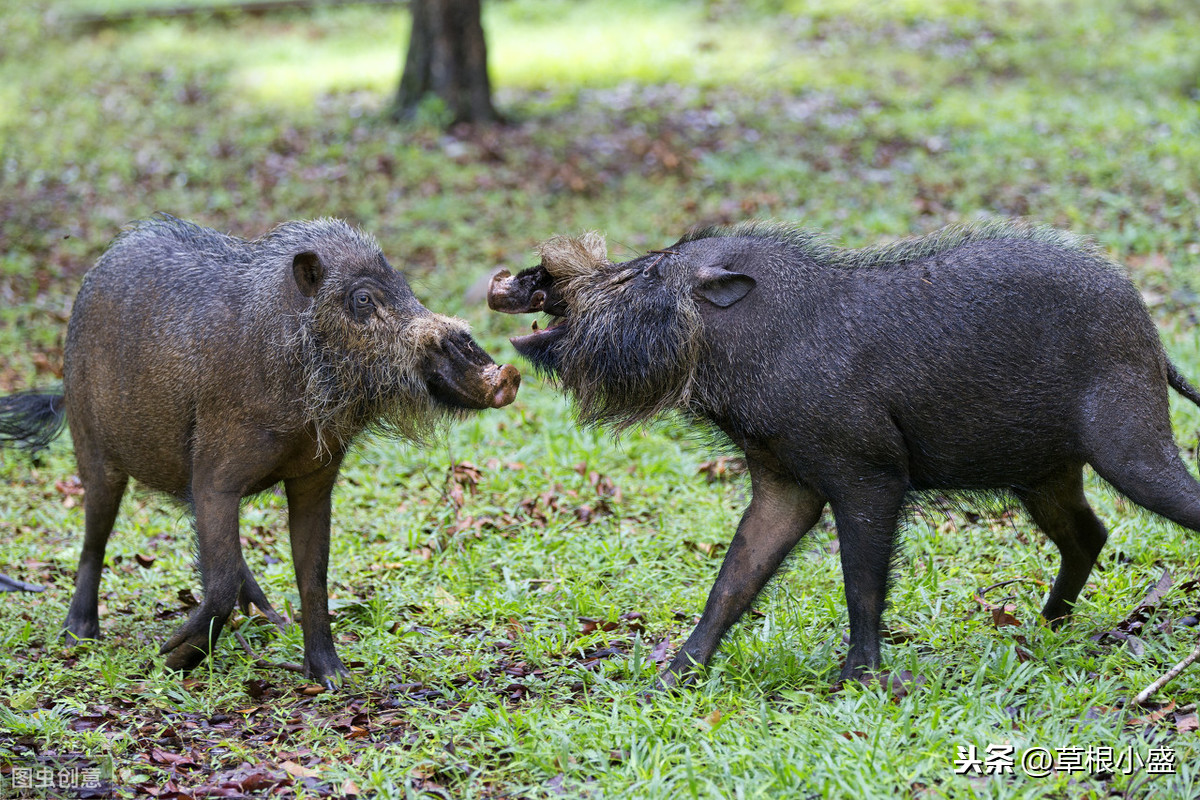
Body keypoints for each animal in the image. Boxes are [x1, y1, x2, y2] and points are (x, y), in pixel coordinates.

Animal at [0, 215, 518, 686]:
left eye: (406, 288)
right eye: (363, 298)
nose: (508, 376)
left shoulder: (314, 478)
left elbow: (312, 575)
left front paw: (332, 678)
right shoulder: (215, 473)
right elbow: (223, 578)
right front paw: (170, 659)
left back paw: (269, 618)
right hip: (91, 444)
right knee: (95, 537)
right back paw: (78, 635)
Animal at [487, 220, 1200, 690]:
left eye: (648, 270)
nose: (525, 282)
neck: (749, 345)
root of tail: (1153, 340)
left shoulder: (870, 474)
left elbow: (859, 577)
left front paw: (859, 679)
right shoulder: (784, 483)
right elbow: (734, 578)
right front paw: (668, 678)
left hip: (1129, 443)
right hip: (1045, 474)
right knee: (1090, 532)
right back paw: (1040, 629)